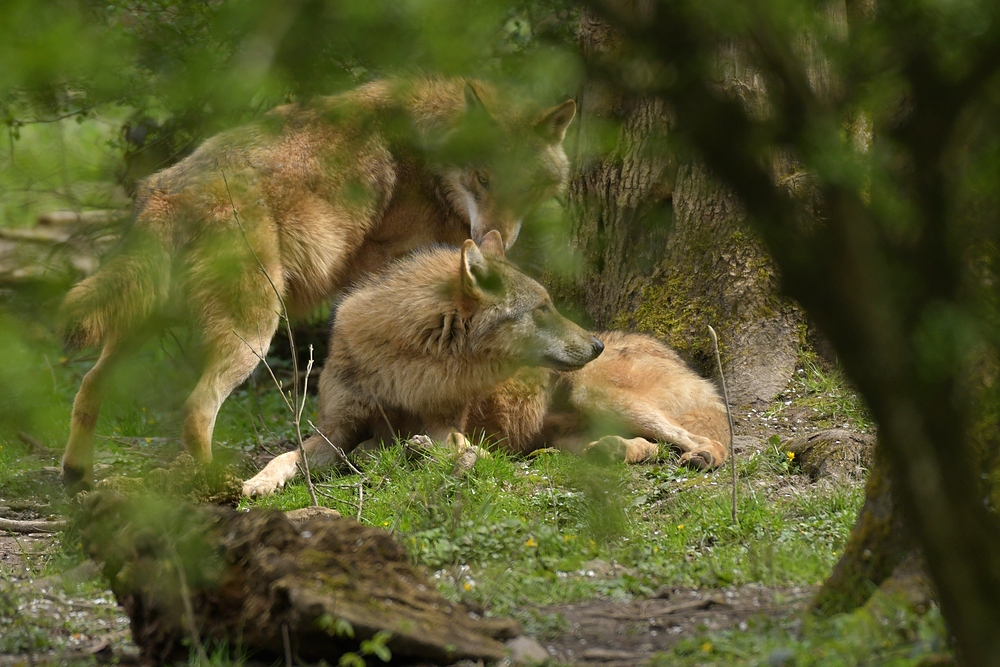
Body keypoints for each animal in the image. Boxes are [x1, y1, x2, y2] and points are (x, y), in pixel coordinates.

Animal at [60, 77, 580, 490]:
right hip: (252, 335)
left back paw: (76, 475)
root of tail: (165, 191)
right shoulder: (387, 265)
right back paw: (216, 484)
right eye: (483, 178)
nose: (496, 237)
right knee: (195, 409)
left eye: (524, 187)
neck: (429, 150)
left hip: (144, 327)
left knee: (87, 385)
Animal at [242, 230, 728, 496]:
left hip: (596, 394)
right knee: (643, 447)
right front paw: (257, 483)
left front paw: (420, 450)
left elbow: (433, 443)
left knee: (703, 440)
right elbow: (285, 456)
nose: (596, 346)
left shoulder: (444, 425)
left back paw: (702, 455)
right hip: (570, 426)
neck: (406, 371)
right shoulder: (334, 432)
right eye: (542, 309)